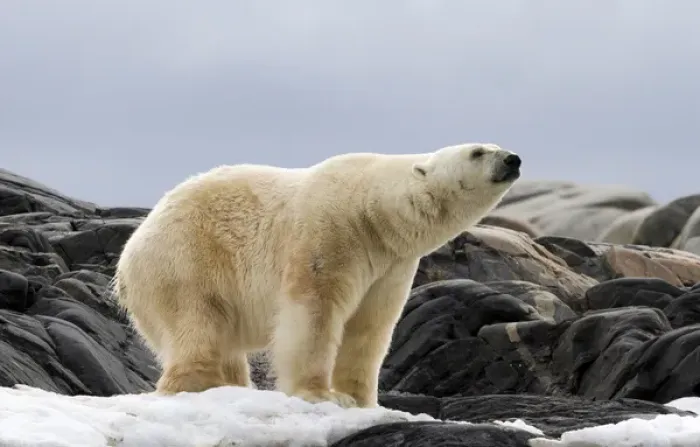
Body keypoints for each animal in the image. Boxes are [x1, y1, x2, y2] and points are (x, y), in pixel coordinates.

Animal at [113, 142, 522, 408]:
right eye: (477, 151)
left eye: (496, 144)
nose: (513, 158)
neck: (372, 210)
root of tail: (127, 259)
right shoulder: (330, 231)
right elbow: (314, 312)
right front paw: (319, 394)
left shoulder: (390, 265)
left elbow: (370, 326)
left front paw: (360, 399)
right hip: (185, 260)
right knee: (198, 324)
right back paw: (198, 383)